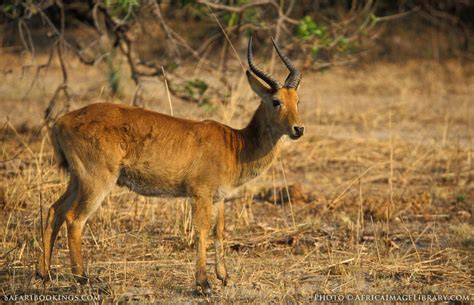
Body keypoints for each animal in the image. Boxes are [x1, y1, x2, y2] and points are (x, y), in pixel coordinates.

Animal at [36, 36, 304, 294]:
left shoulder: (218, 198)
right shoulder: (200, 195)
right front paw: (204, 284)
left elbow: (219, 232)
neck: (235, 144)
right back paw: (83, 278)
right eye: (276, 101)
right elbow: (201, 232)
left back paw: (44, 274)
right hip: (97, 181)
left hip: (76, 180)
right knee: (74, 219)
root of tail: (62, 120)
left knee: (54, 210)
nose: (298, 129)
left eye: (297, 100)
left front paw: (224, 277)